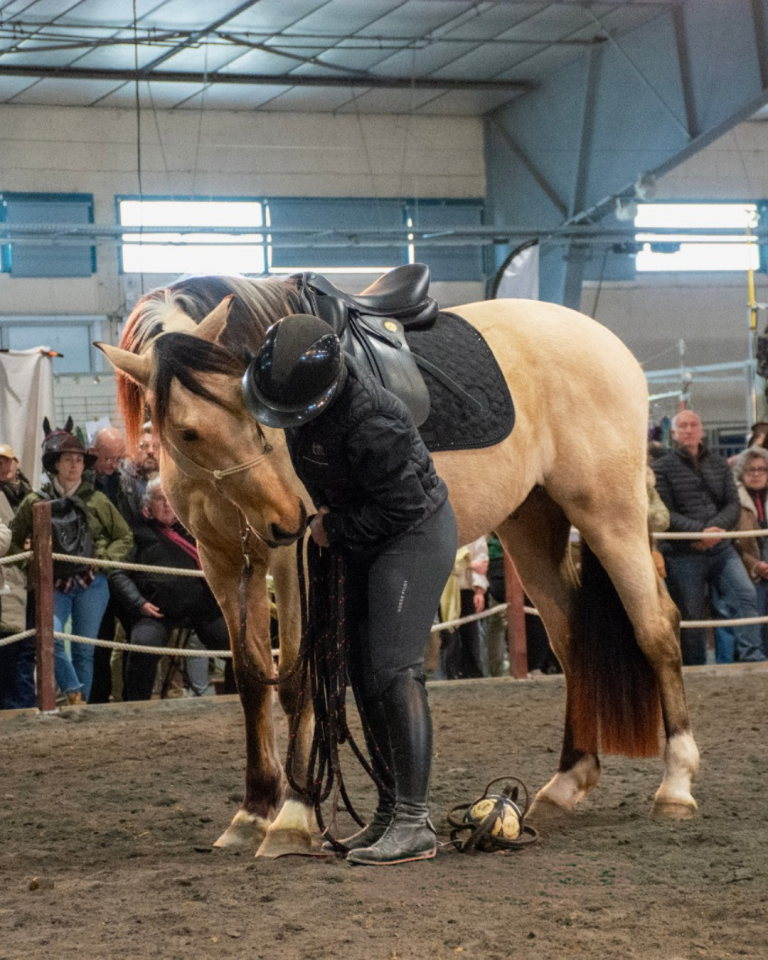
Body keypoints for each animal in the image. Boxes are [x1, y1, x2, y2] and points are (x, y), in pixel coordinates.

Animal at [97, 273, 700, 859]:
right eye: (189, 431)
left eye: (250, 408)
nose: (287, 517)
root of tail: (610, 346)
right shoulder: (222, 562)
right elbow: (250, 681)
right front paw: (251, 812)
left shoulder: (291, 563)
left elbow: (296, 682)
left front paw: (291, 816)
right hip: (532, 524)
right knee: (572, 640)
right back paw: (567, 782)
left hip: (609, 514)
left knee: (657, 630)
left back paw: (675, 785)